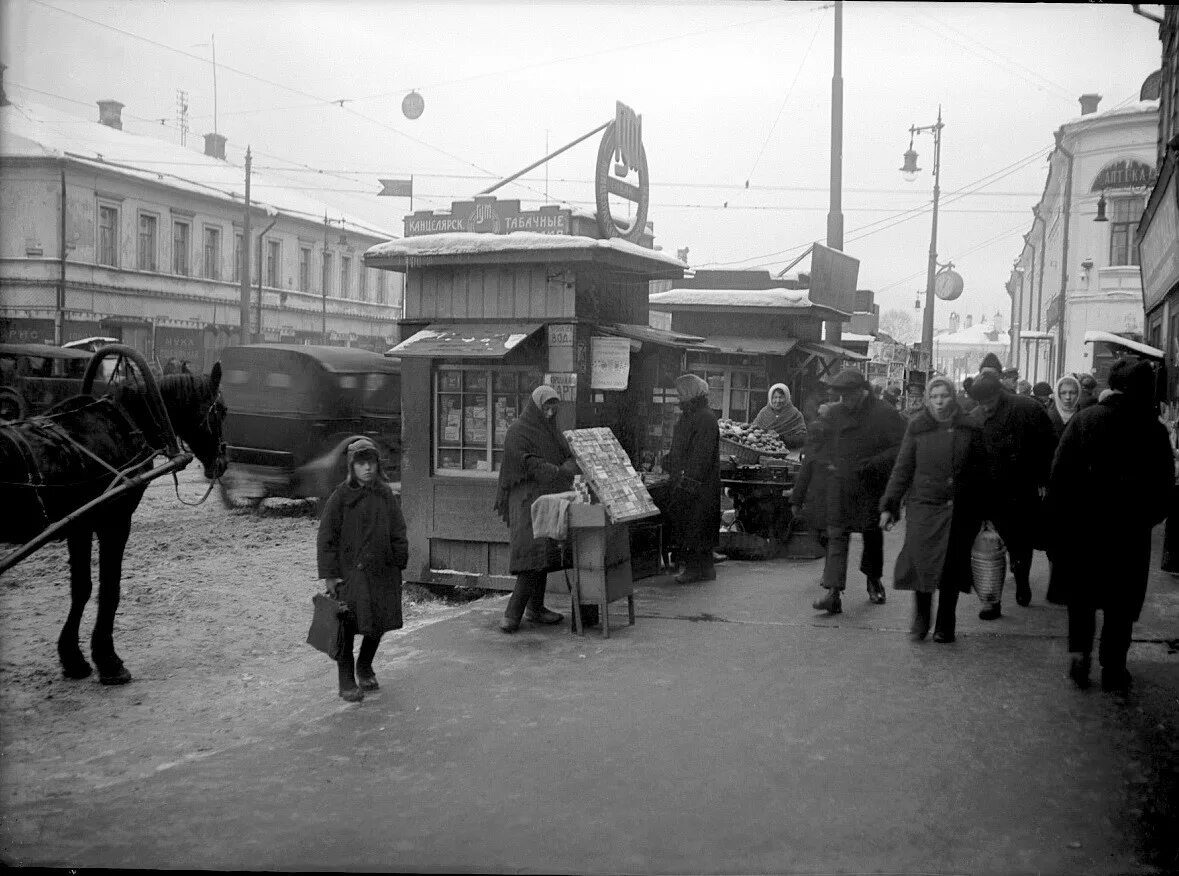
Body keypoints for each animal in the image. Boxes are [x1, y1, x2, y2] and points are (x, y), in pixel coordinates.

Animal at [0, 346, 227, 683]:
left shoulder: (79, 526)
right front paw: (107, 659)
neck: (124, 424)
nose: (222, 462)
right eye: (221, 410)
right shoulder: (114, 522)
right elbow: (110, 588)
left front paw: (73, 657)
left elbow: (81, 588)